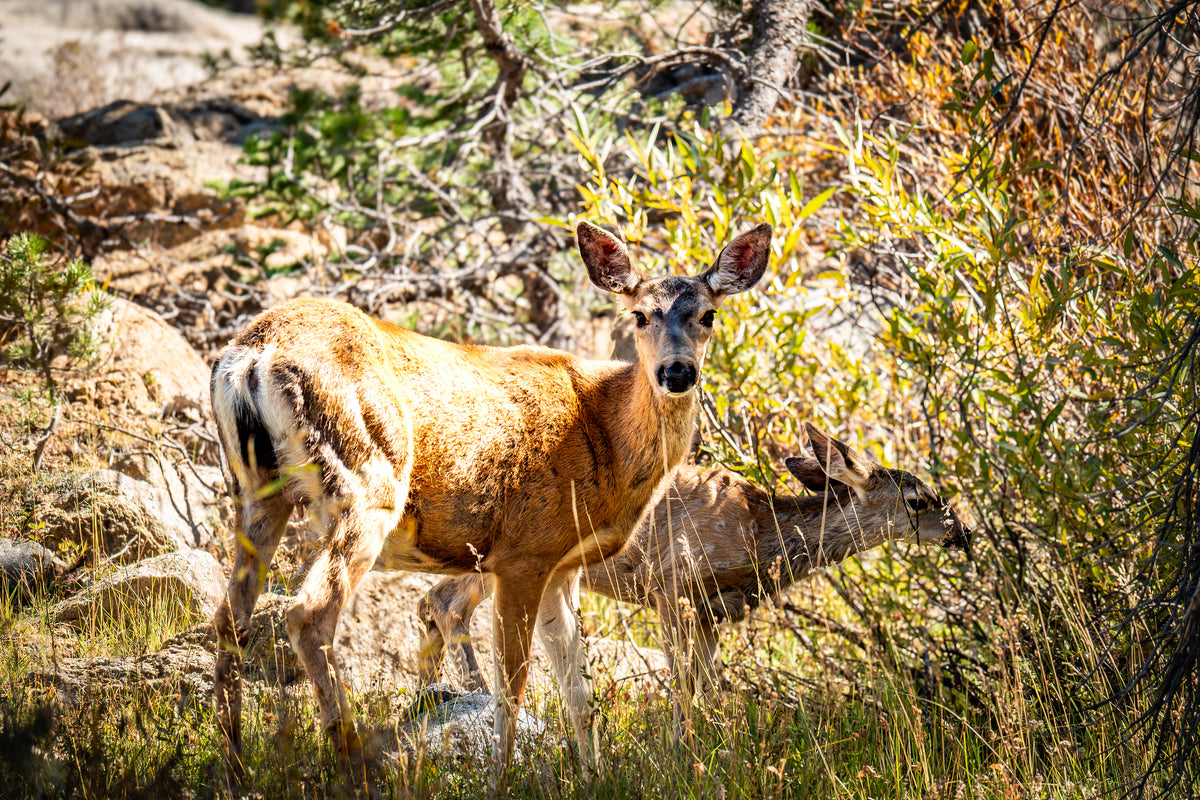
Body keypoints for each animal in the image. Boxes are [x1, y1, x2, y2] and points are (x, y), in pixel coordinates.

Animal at [208, 219, 771, 790]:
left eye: (708, 314)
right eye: (639, 314)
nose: (677, 372)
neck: (606, 433)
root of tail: (254, 353)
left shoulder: (561, 564)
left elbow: (578, 688)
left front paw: (591, 775)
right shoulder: (523, 552)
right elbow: (512, 686)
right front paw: (503, 776)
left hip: (257, 491)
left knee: (230, 617)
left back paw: (235, 770)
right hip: (368, 481)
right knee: (310, 613)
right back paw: (352, 769)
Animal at [416, 423, 970, 736]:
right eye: (918, 500)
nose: (962, 533)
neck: (758, 536)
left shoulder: (714, 613)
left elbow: (706, 685)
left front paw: (712, 742)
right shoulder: (670, 586)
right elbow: (682, 686)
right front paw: (681, 750)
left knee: (432, 602)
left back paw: (429, 698)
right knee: (444, 603)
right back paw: (476, 698)